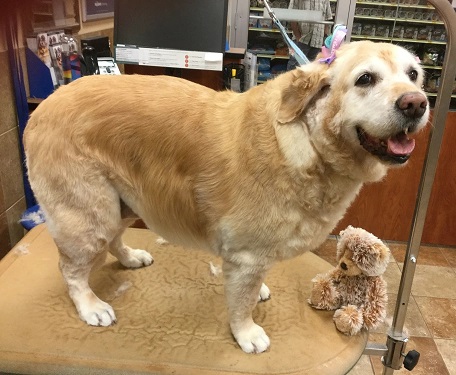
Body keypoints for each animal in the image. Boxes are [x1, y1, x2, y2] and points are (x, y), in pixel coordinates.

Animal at [24, 41, 432, 356]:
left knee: (113, 241)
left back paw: (130, 257)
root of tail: (42, 106)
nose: (416, 104)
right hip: (90, 212)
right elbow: (241, 304)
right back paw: (91, 306)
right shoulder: (247, 254)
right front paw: (246, 333)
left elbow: (250, 287)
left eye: (413, 74)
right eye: (365, 79)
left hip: (121, 202)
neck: (305, 141)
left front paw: (259, 292)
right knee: (71, 269)